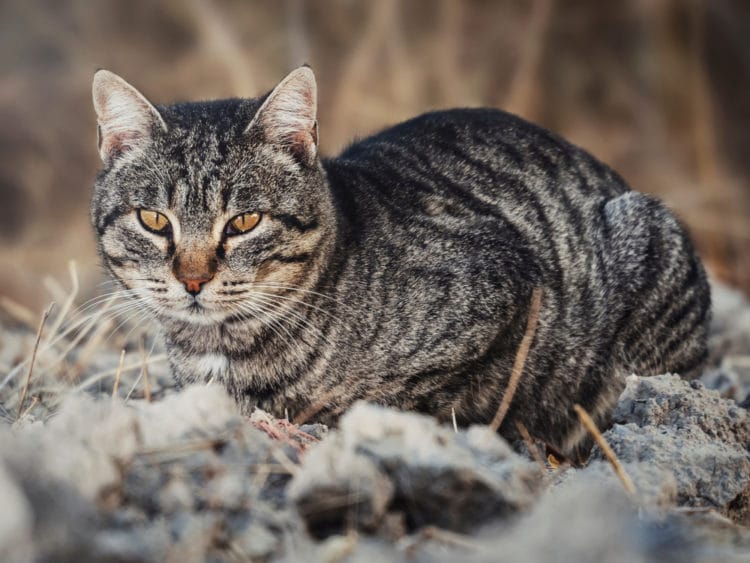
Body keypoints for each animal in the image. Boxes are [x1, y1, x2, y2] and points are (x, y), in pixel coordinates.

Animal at [91, 67, 712, 462]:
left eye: (244, 221)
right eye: (154, 219)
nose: (192, 279)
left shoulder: (505, 294)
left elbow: (412, 396)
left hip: (647, 245)